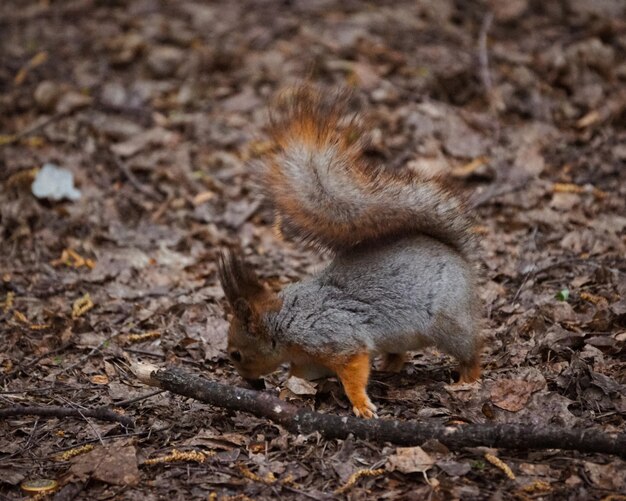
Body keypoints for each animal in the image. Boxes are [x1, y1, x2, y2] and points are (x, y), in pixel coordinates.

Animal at [217, 87, 480, 418]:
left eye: (236, 354)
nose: (248, 383)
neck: (285, 321)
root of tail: (456, 255)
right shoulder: (309, 359)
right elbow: (302, 376)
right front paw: (288, 392)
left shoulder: (337, 338)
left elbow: (353, 372)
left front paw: (361, 404)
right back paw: (390, 367)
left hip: (449, 321)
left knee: (472, 349)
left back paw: (468, 378)